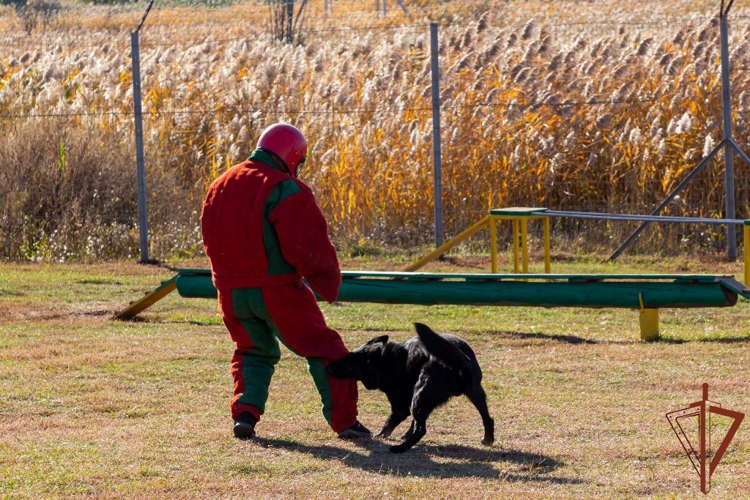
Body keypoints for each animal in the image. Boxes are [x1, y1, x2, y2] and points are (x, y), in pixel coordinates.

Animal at [328, 322, 494, 456]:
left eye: (348, 362)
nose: (328, 367)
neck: (383, 361)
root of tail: (462, 359)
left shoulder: (400, 406)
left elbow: (389, 423)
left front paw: (379, 436)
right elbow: (413, 422)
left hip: (420, 396)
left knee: (421, 430)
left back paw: (400, 448)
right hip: (475, 394)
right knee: (488, 419)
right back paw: (488, 439)